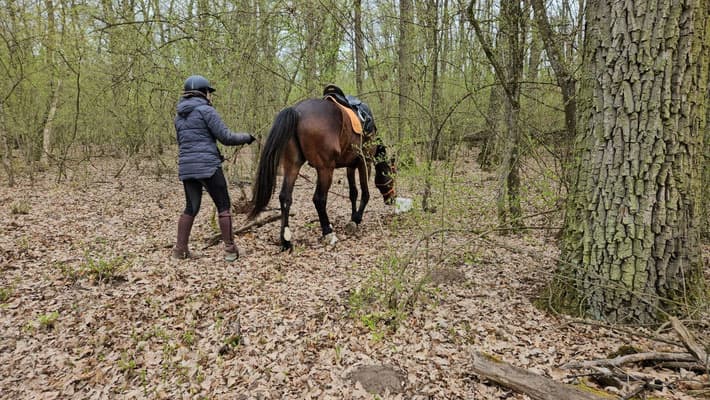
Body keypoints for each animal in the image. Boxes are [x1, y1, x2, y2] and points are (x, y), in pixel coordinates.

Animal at [248, 97, 396, 251]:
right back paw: (328, 232)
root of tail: (296, 110)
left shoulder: (350, 166)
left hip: (293, 165)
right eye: (392, 178)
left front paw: (352, 217)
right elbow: (365, 193)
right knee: (319, 199)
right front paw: (356, 219)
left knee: (285, 197)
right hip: (325, 168)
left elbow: (353, 193)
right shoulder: (365, 162)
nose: (392, 199)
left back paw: (286, 241)